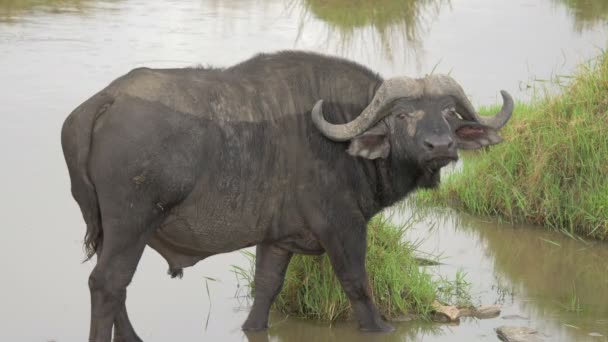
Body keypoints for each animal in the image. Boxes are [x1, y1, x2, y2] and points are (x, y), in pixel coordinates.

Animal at [61, 49, 512, 340]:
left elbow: (266, 287)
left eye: (449, 113)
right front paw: (380, 327)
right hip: (131, 224)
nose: (441, 146)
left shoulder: (276, 240)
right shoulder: (343, 227)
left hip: (107, 230)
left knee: (113, 286)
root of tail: (104, 101)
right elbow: (357, 282)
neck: (341, 135)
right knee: (108, 284)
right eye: (402, 115)